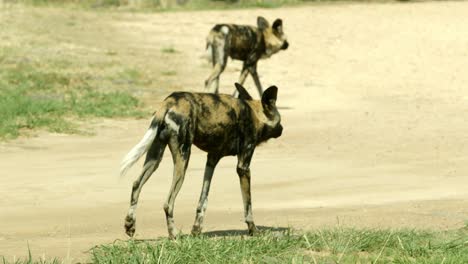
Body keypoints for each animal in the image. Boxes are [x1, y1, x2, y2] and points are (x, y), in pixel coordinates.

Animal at [119, 83, 282, 239]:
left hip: (154, 158)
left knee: (136, 185)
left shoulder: (211, 160)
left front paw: (196, 230)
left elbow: (203, 200)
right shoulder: (243, 167)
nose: (282, 129)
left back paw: (130, 224)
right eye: (280, 120)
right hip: (183, 159)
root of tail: (170, 100)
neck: (255, 114)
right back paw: (173, 234)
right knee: (168, 203)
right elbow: (248, 205)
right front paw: (253, 230)